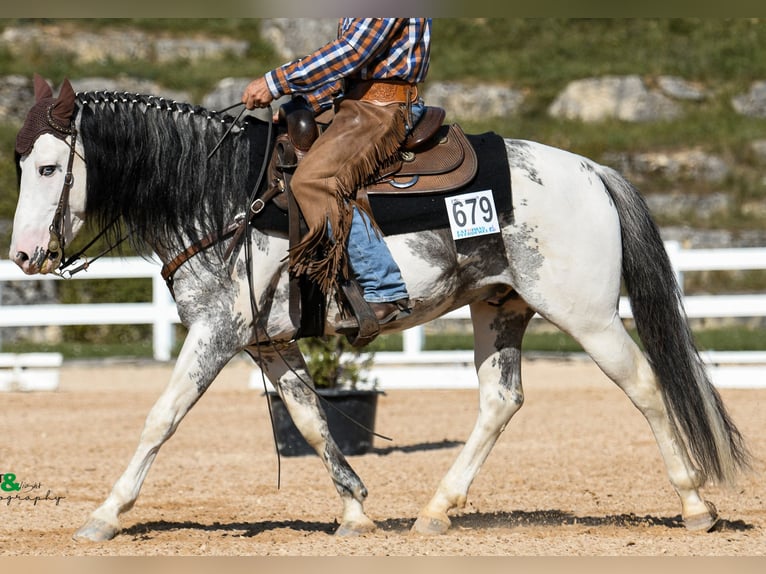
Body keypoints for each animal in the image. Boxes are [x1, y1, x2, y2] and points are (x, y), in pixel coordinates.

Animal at [10, 77, 752, 544]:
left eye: (48, 168)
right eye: (19, 164)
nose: (21, 255)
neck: (220, 195)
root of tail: (593, 171)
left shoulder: (216, 334)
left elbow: (160, 419)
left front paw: (105, 515)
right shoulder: (268, 343)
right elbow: (309, 423)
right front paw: (355, 511)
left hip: (587, 315)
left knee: (646, 386)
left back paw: (695, 505)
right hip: (500, 308)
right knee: (500, 402)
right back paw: (437, 510)